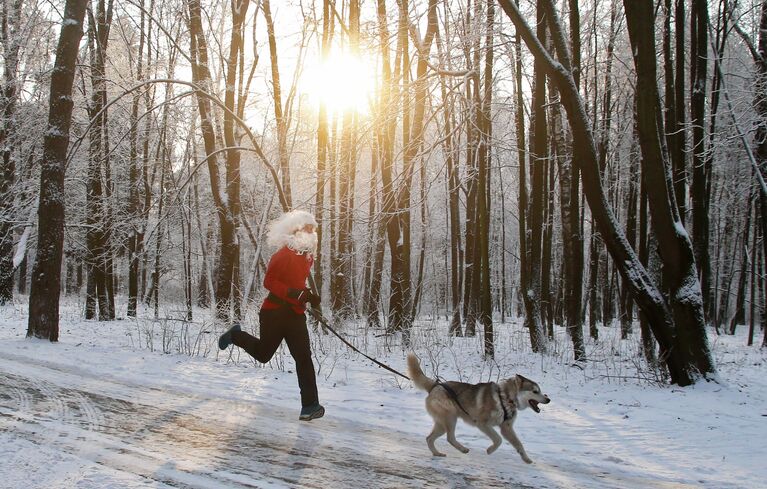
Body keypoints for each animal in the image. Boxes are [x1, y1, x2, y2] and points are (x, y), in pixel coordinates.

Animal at [404, 352, 548, 464]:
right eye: (535, 391)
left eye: (540, 391)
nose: (548, 399)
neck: (505, 398)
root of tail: (435, 386)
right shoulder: (483, 424)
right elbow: (498, 439)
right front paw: (490, 450)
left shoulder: (506, 428)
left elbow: (519, 444)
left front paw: (527, 459)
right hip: (450, 418)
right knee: (449, 438)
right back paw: (463, 449)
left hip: (442, 424)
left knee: (429, 438)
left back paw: (437, 453)